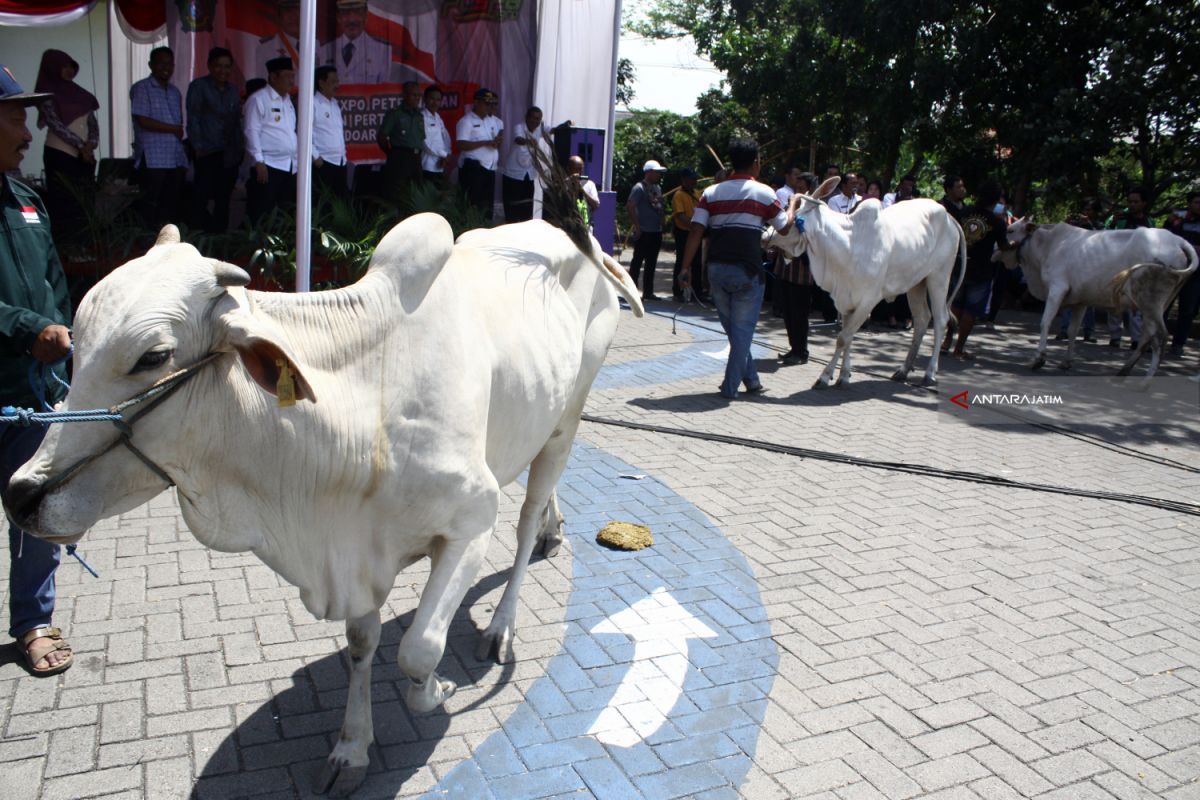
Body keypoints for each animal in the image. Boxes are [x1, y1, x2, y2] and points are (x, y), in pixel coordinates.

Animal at [2, 212, 648, 796]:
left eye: (152, 356)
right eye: (75, 344)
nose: (21, 495)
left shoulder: (470, 523)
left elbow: (418, 650)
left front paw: (434, 692)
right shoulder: (358, 553)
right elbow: (363, 645)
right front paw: (351, 748)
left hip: (570, 414)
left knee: (524, 520)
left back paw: (503, 622)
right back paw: (554, 532)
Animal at [763, 177, 969, 388]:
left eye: (791, 210)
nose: (764, 236)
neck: (848, 244)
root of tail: (949, 217)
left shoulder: (868, 301)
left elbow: (843, 338)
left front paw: (825, 376)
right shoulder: (845, 299)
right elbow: (848, 336)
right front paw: (844, 375)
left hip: (939, 277)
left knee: (940, 319)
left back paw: (930, 373)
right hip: (916, 284)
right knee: (921, 320)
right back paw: (903, 370)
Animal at [988, 217, 1195, 383]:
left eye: (1010, 230)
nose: (994, 249)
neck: (1047, 245)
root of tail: (1179, 241)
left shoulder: (1057, 289)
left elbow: (1045, 322)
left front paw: (1038, 359)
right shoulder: (1080, 301)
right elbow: (1072, 331)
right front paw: (1066, 362)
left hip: (1150, 302)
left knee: (1160, 337)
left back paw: (1145, 381)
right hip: (1155, 306)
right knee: (1147, 337)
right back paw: (1123, 371)